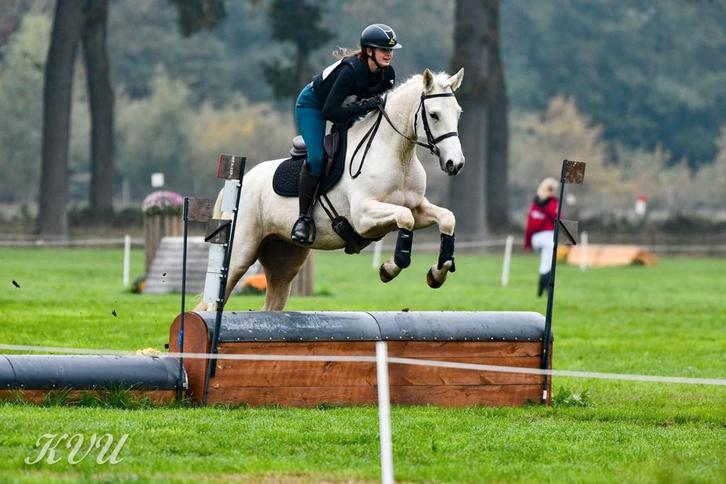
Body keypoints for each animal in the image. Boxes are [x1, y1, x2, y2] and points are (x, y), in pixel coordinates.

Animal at [196, 68, 465, 312]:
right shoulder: (364, 217)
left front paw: (437, 273)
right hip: (239, 252)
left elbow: (447, 218)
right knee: (209, 304)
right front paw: (389, 269)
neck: (398, 155)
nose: (455, 163)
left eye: (458, 113)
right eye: (434, 115)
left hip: (284, 258)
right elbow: (405, 219)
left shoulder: (417, 206)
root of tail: (239, 184)